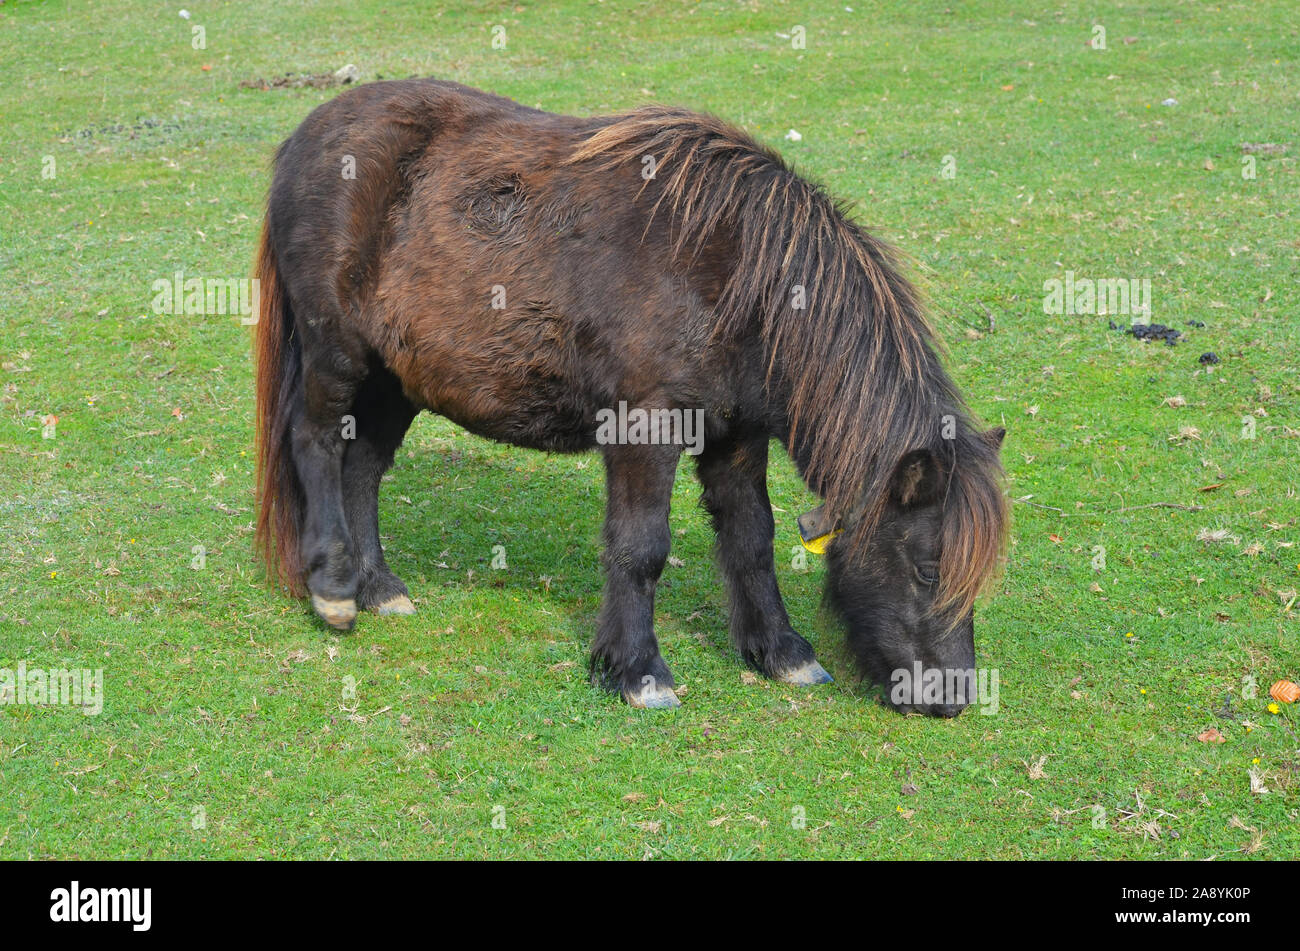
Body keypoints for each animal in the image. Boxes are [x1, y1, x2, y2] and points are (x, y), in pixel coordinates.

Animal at [252, 79, 1009, 716]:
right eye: (927, 567)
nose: (951, 697)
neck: (737, 275)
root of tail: (307, 135)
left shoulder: (737, 435)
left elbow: (752, 538)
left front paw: (781, 652)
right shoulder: (645, 427)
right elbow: (641, 546)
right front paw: (638, 671)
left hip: (396, 376)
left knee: (362, 468)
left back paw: (379, 588)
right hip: (339, 356)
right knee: (318, 445)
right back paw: (334, 591)